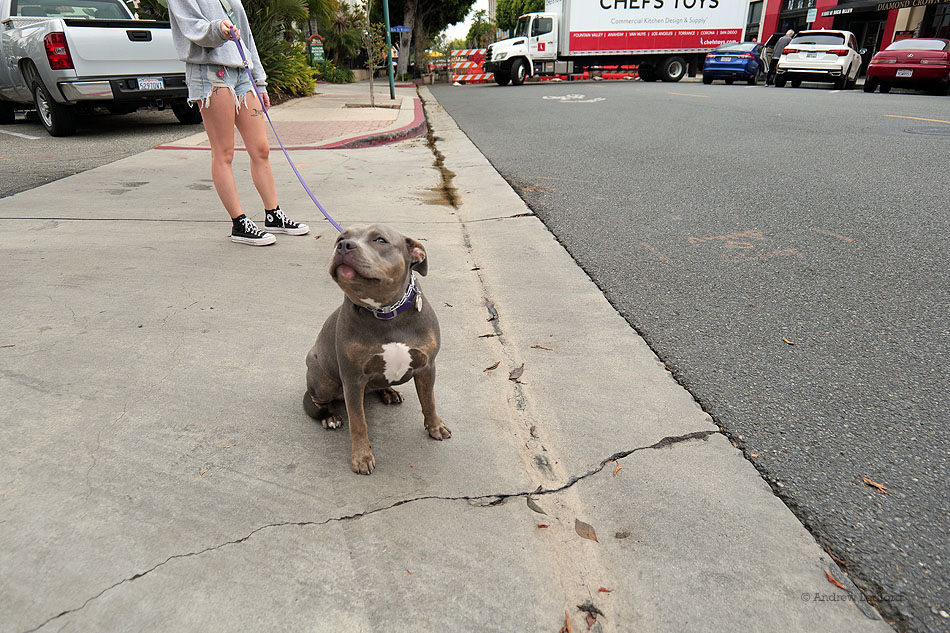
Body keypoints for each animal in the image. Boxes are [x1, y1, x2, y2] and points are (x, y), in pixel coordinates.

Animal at [304, 225, 454, 472]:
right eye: (341, 237)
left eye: (380, 240)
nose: (343, 245)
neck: (385, 311)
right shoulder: (353, 380)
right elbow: (358, 422)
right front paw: (362, 457)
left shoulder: (427, 367)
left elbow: (429, 402)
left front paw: (435, 427)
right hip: (323, 379)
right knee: (319, 401)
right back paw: (330, 416)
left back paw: (389, 391)